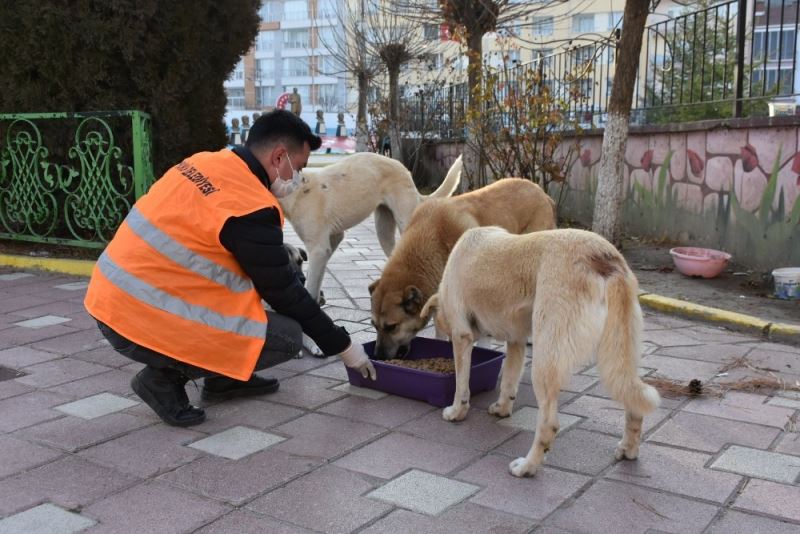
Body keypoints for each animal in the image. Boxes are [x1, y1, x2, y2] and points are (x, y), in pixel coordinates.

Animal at [278, 153, 462, 308]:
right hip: (383, 230)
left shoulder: (319, 250)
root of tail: (405, 170)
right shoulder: (333, 238)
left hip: (405, 223)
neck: (296, 191)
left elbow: (310, 287)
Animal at [422, 228, 660, 480]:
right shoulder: (516, 341)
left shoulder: (462, 337)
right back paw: (628, 449)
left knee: (549, 424)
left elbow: (461, 384)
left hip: (544, 359)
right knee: (633, 405)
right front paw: (502, 409)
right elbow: (508, 382)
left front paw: (457, 412)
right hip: (621, 354)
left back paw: (527, 466)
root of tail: (603, 255)